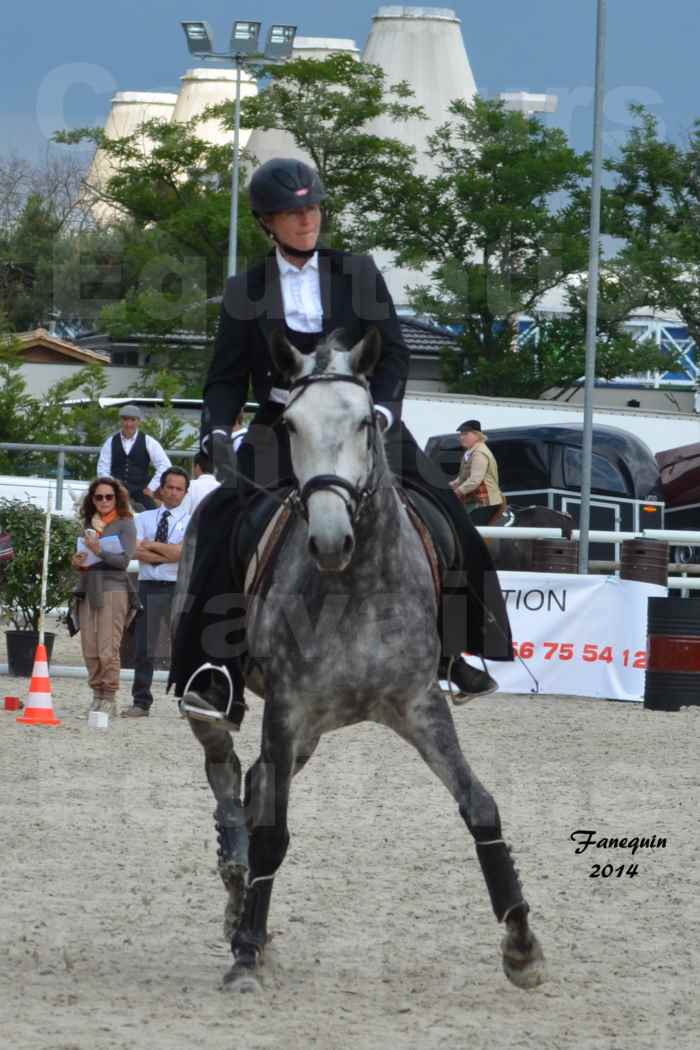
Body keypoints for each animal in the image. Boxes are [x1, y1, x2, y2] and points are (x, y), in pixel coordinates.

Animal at [175, 329, 545, 991]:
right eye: (290, 425)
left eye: (364, 422)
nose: (329, 539)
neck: (356, 586)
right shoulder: (288, 709)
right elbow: (273, 835)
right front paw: (245, 954)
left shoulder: (420, 706)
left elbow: (480, 808)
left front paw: (522, 946)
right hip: (238, 708)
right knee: (226, 771)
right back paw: (235, 880)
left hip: (310, 734)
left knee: (257, 782)